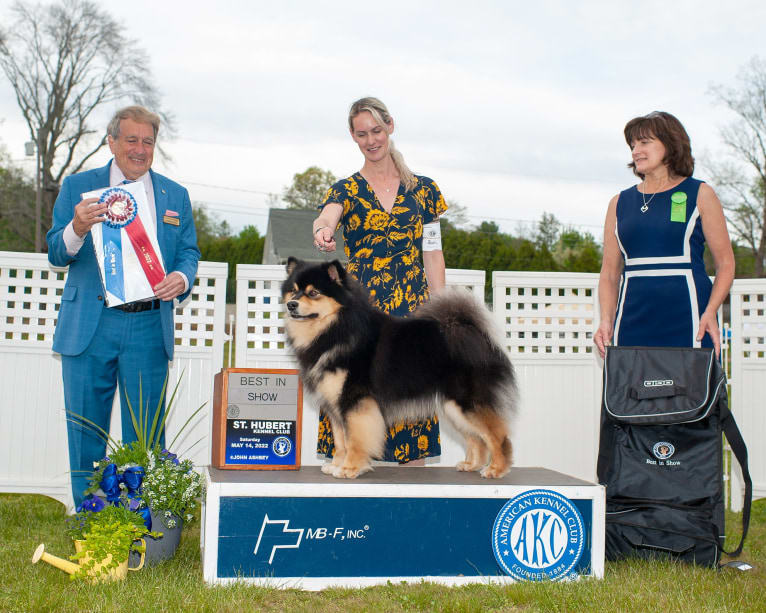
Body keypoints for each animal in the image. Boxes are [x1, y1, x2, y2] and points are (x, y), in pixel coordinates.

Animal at [280, 258, 520, 478]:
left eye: (313, 293)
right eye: (293, 291)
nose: (291, 304)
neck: (337, 329)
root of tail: (475, 334)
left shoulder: (355, 400)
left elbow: (354, 439)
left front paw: (349, 468)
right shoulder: (335, 404)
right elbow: (340, 440)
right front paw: (336, 465)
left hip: (466, 402)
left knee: (497, 436)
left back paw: (496, 469)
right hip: (453, 407)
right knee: (476, 438)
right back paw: (471, 465)